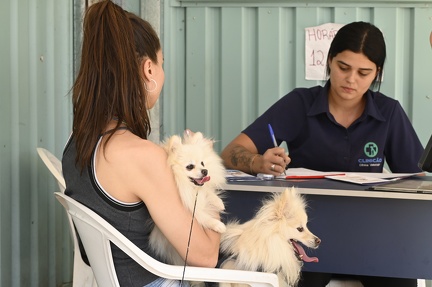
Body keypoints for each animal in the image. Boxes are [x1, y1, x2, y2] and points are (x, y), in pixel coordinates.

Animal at [148, 130, 226, 266]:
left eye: (202, 163)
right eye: (190, 166)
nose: (205, 171)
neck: (188, 187)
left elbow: (207, 191)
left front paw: (218, 202)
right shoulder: (191, 207)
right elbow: (203, 217)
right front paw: (218, 225)